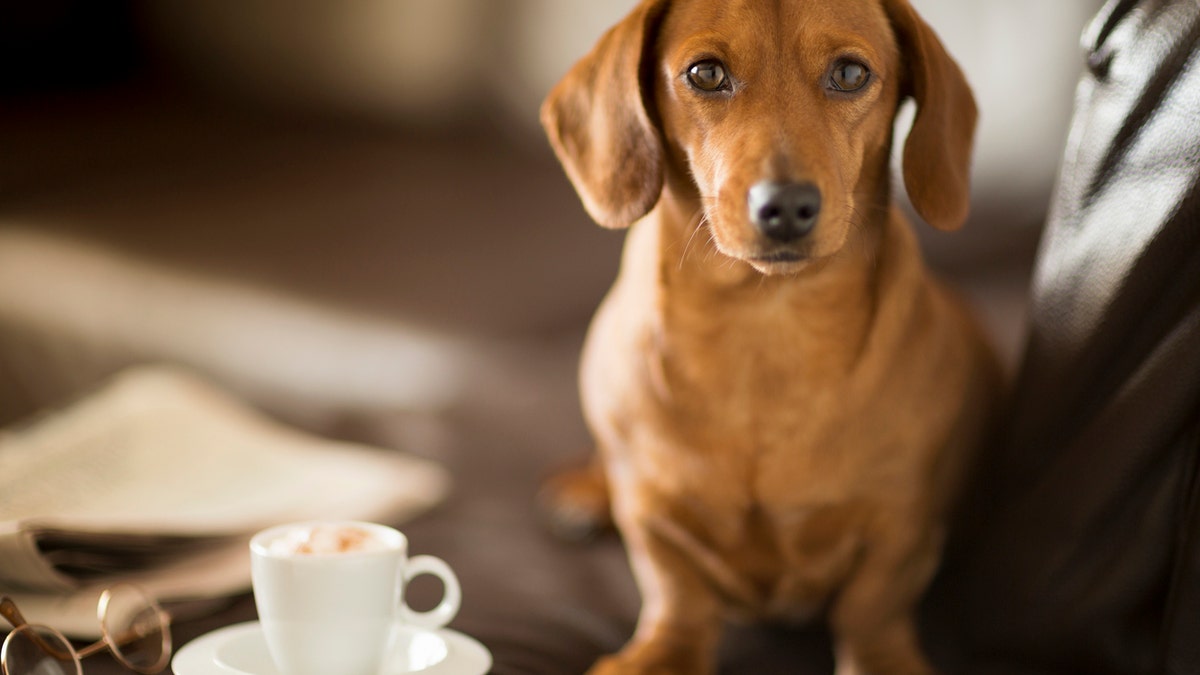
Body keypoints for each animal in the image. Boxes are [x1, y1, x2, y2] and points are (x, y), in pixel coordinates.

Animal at [540, 2, 998, 667]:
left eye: (851, 73)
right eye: (705, 73)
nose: (784, 207)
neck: (764, 326)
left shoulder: (902, 527)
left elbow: (872, 608)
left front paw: (882, 658)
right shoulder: (652, 518)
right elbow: (676, 592)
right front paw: (662, 654)